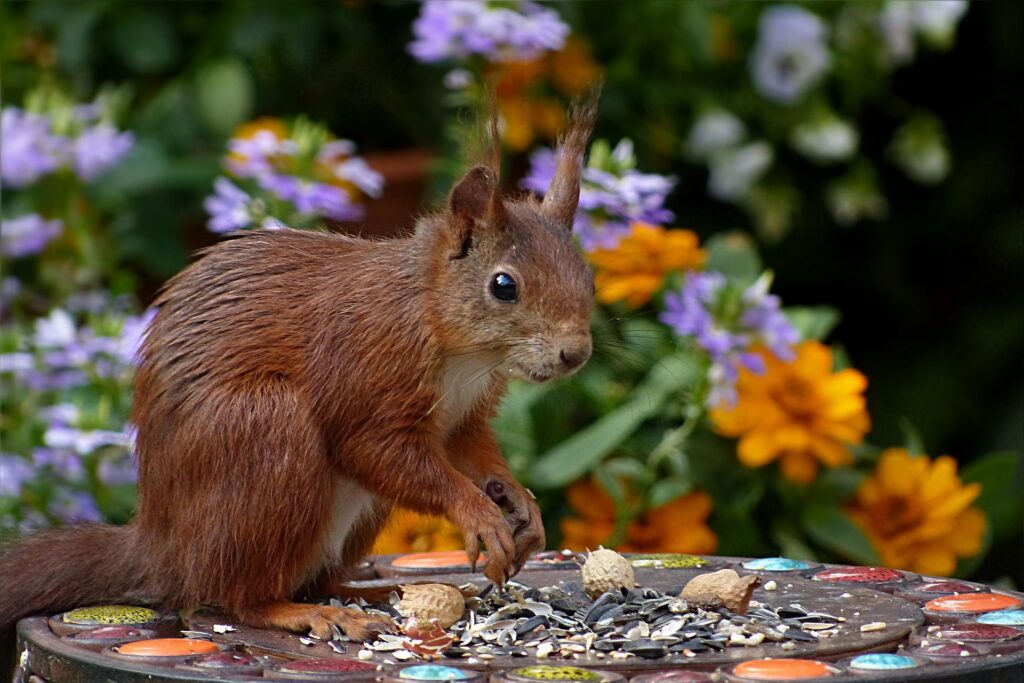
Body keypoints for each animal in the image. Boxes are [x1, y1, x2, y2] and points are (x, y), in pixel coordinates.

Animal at [0, 95, 598, 648]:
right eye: (504, 285)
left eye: (587, 274)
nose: (575, 353)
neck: (464, 351)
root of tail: (163, 548)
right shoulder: (366, 365)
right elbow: (378, 450)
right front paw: (478, 512)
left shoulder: (465, 412)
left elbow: (470, 451)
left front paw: (517, 500)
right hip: (265, 430)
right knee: (239, 597)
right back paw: (308, 613)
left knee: (318, 578)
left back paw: (377, 593)